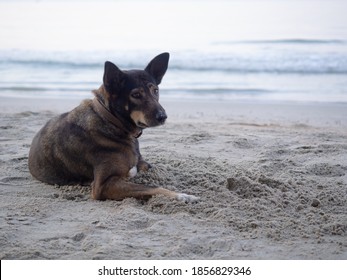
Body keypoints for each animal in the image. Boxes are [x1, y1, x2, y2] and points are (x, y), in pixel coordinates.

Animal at [27, 52, 198, 202]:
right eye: (136, 95)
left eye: (155, 90)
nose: (163, 117)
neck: (112, 122)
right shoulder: (103, 186)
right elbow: (152, 187)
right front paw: (181, 195)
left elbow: (146, 166)